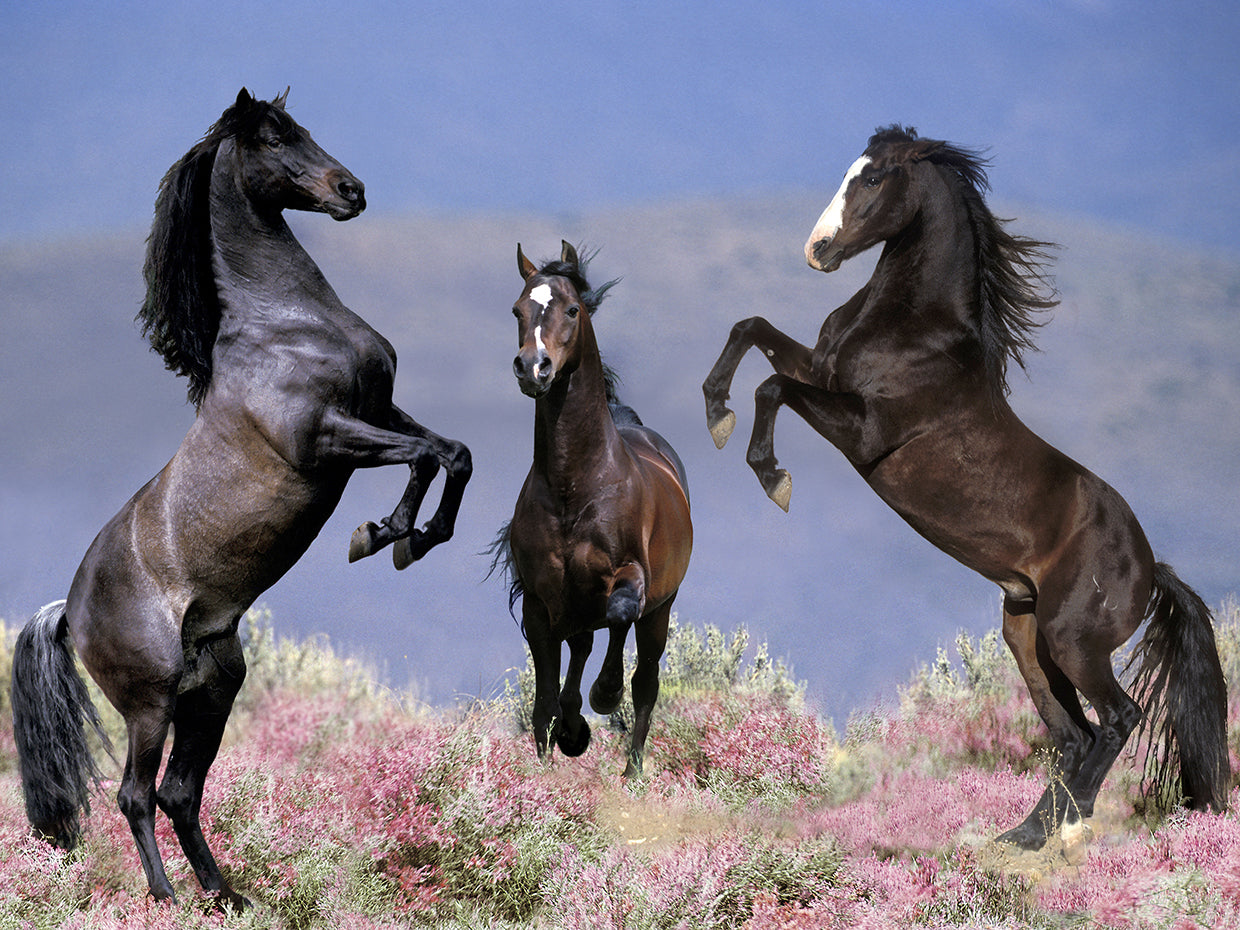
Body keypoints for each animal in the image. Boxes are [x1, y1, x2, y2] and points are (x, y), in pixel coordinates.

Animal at [10, 88, 472, 907]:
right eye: (272, 137)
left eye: (305, 127)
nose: (351, 190)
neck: (282, 321)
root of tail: (68, 611)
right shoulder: (326, 437)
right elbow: (426, 457)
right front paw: (384, 534)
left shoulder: (381, 409)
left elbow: (454, 453)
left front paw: (411, 538)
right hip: (151, 702)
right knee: (136, 795)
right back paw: (165, 899)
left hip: (214, 691)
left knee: (179, 793)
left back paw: (227, 896)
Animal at [498, 241, 692, 777]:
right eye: (517, 310)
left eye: (571, 309)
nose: (533, 368)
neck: (573, 486)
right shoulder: (539, 603)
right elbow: (545, 700)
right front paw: (553, 758)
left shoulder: (629, 578)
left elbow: (620, 613)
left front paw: (604, 696)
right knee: (581, 652)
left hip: (660, 610)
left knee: (644, 679)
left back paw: (632, 772)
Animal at [702, 125, 1229, 851]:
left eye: (875, 178)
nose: (817, 250)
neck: (914, 329)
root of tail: (1152, 569)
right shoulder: (822, 373)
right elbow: (750, 329)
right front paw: (714, 411)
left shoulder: (862, 431)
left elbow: (772, 386)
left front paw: (771, 475)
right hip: (1027, 636)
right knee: (1075, 734)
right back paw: (1025, 832)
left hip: (1074, 641)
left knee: (1118, 719)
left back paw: (1063, 830)